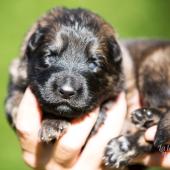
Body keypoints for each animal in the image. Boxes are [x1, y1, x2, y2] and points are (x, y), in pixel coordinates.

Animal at [4, 6, 170, 170]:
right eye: (50, 56)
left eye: (93, 63)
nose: (67, 91)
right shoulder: (17, 72)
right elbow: (11, 101)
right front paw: (17, 108)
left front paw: (53, 123)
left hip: (153, 64)